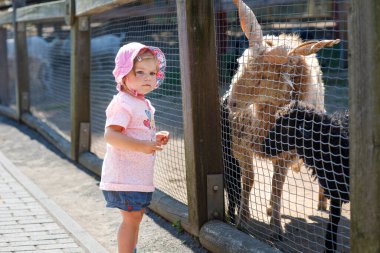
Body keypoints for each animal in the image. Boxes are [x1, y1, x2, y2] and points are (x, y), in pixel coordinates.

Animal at [227, 0, 340, 238]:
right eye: (240, 65)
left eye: (264, 76)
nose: (231, 104)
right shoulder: (242, 146)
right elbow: (249, 182)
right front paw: (242, 220)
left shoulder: (286, 155)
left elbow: (277, 186)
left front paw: (277, 228)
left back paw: (321, 202)